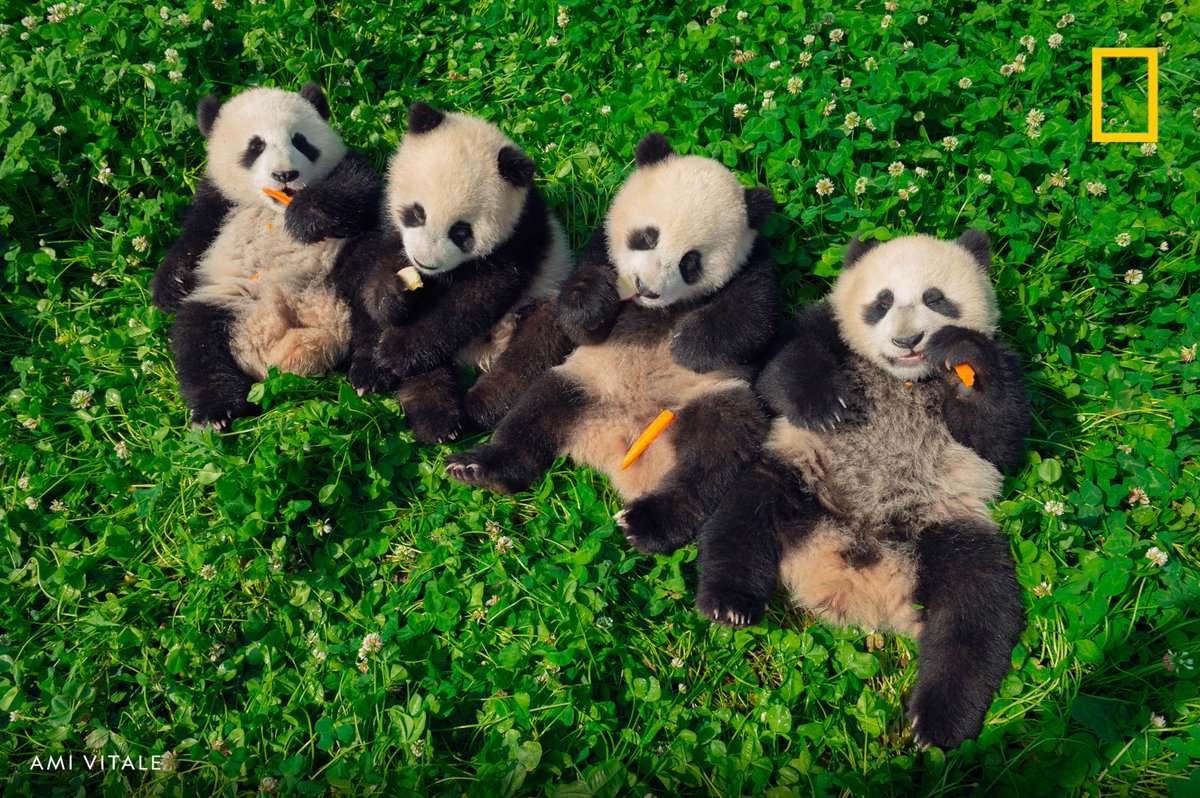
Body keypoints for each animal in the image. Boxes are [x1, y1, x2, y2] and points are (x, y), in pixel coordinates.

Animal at [151, 82, 382, 428]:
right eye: (255, 146)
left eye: (300, 141)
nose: (285, 174)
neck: (271, 208)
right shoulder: (217, 202)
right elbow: (193, 237)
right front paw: (170, 285)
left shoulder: (350, 169)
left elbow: (358, 191)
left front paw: (304, 217)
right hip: (227, 303)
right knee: (196, 340)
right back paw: (215, 414)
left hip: (338, 268)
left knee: (372, 286)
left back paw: (370, 371)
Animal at [351, 101, 574, 444]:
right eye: (417, 213)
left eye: (461, 231)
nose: (424, 261)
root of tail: (480, 356)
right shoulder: (390, 225)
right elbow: (385, 261)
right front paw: (391, 297)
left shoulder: (518, 240)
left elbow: (474, 299)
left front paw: (397, 347)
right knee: (426, 371)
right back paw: (433, 417)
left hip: (544, 293)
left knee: (534, 348)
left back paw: (477, 405)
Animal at [445, 132, 778, 555]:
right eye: (647, 237)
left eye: (691, 262)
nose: (645, 288)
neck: (659, 311)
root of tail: (619, 450)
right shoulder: (600, 246)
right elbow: (575, 316)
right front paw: (596, 300)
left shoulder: (756, 264)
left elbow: (753, 320)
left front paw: (686, 345)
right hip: (585, 382)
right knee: (535, 413)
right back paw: (479, 468)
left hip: (709, 398)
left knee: (716, 452)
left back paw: (647, 522)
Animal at [692, 230, 1030, 749]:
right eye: (881, 302)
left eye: (936, 298)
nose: (908, 341)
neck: (904, 379)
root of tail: (854, 573)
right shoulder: (828, 328)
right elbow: (780, 366)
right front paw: (826, 405)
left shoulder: (1003, 359)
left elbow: (999, 437)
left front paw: (961, 355)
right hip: (798, 476)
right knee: (742, 518)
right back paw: (729, 604)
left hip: (949, 525)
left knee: (975, 609)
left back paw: (936, 721)